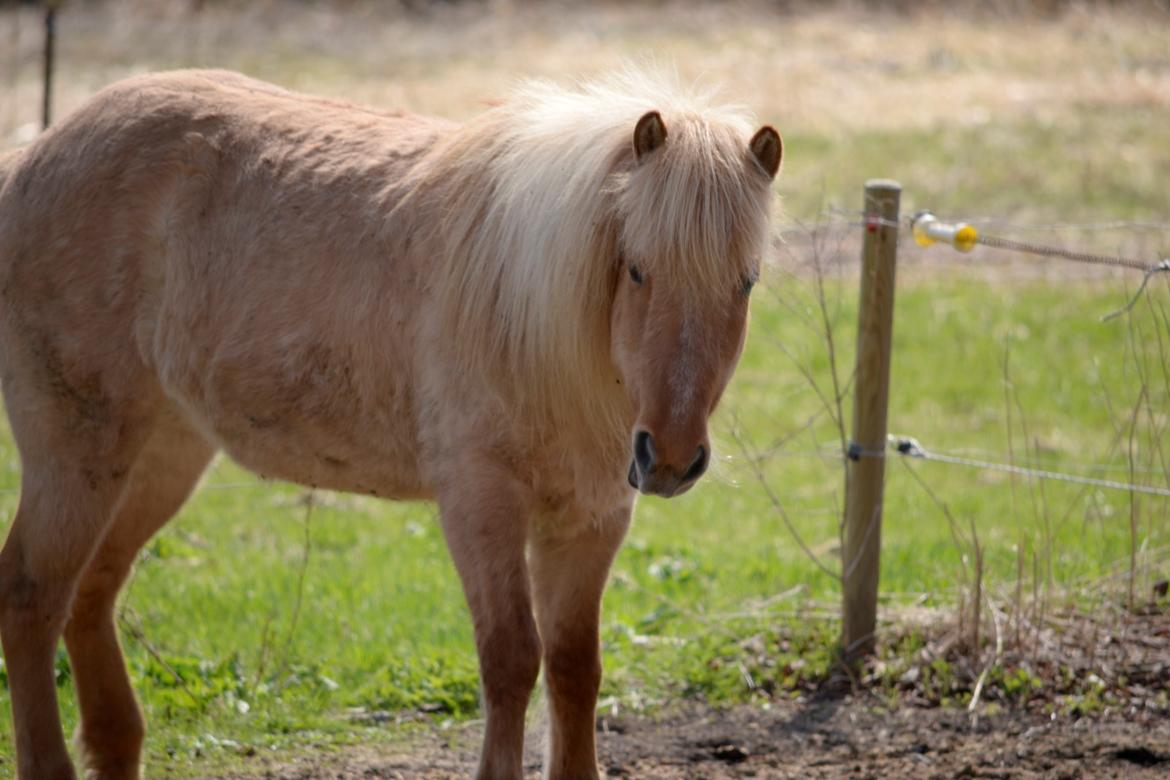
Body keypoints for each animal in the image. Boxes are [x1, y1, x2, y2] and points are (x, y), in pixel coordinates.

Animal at [2, 70, 786, 776]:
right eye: (636, 269)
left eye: (746, 281)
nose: (672, 457)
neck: (525, 314)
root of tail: (30, 160)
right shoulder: (479, 504)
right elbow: (510, 660)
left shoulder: (591, 521)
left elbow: (574, 666)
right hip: (77, 453)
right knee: (32, 595)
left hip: (160, 456)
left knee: (92, 592)